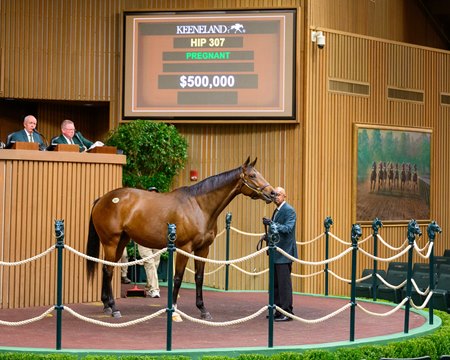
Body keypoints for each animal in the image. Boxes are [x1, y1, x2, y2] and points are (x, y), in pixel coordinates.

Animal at [84, 158, 274, 318]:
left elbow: (199, 277)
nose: (272, 193)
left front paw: (203, 309)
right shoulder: (184, 248)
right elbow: (178, 277)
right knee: (108, 270)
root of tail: (103, 199)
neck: (199, 206)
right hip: (111, 242)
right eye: (252, 175)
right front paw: (174, 309)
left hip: (121, 242)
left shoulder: (203, 249)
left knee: (106, 269)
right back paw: (114, 308)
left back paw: (107, 305)